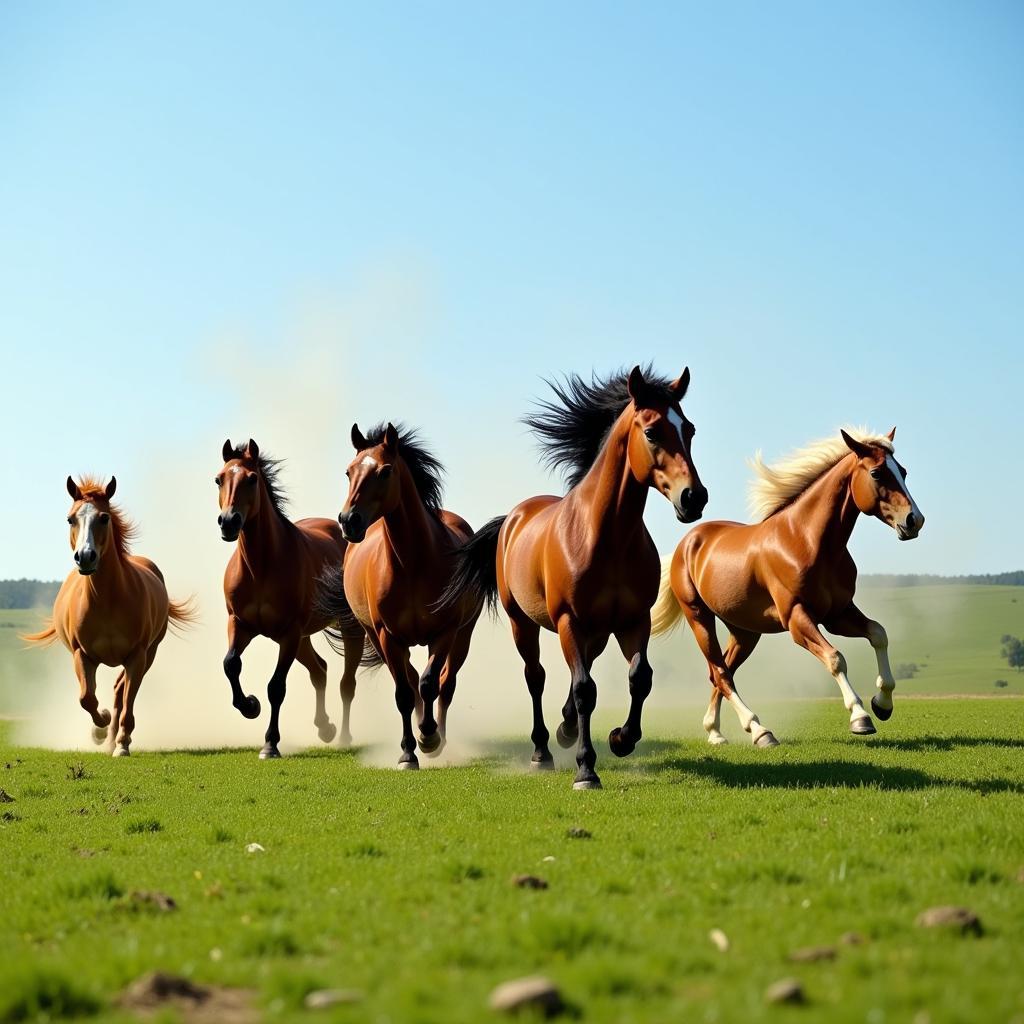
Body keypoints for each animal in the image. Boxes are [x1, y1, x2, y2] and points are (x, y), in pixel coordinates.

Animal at [23, 475, 195, 757]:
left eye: (104, 517)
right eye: (70, 519)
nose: (85, 557)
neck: (107, 601)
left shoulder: (137, 655)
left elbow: (128, 702)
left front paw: (121, 743)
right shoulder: (82, 655)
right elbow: (86, 698)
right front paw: (100, 727)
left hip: (149, 654)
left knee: (121, 691)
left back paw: (117, 738)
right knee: (114, 689)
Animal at [216, 436, 372, 757]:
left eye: (251, 478)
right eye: (219, 479)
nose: (228, 522)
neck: (260, 567)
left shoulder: (288, 633)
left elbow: (276, 687)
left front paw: (270, 744)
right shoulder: (239, 624)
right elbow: (231, 664)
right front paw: (249, 706)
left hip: (342, 629)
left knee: (345, 683)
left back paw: (343, 736)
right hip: (301, 639)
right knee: (320, 670)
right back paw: (325, 728)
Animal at [329, 421, 485, 770]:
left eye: (385, 471)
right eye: (348, 471)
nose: (349, 521)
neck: (411, 563)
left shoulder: (444, 633)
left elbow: (430, 684)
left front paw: (429, 738)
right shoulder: (388, 636)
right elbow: (405, 692)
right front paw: (407, 753)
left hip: (464, 635)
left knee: (445, 683)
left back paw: (439, 737)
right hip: (374, 635)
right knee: (412, 682)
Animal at [444, 368, 708, 790]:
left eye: (690, 430)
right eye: (652, 432)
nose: (694, 498)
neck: (606, 537)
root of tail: (515, 516)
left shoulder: (634, 621)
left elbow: (640, 678)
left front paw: (621, 739)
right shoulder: (570, 620)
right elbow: (585, 689)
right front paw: (586, 769)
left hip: (596, 633)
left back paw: (566, 729)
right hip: (524, 624)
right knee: (536, 677)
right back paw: (542, 752)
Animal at [651, 423, 925, 745]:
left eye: (903, 471)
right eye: (877, 473)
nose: (914, 520)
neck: (807, 541)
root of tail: (686, 543)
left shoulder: (838, 613)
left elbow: (878, 634)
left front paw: (882, 705)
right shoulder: (797, 617)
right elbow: (835, 658)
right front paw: (860, 717)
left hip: (745, 631)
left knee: (723, 671)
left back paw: (715, 732)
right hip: (699, 617)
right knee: (720, 673)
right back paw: (759, 731)